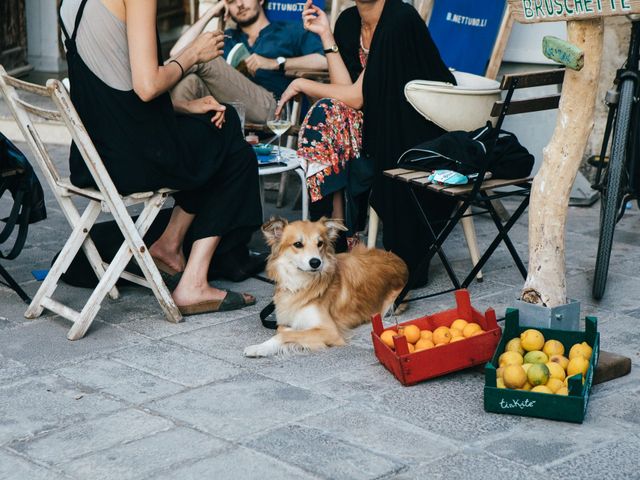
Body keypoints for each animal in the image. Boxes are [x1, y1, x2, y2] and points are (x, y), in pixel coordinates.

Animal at [242, 218, 408, 356]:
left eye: (320, 243)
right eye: (298, 244)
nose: (316, 262)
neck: (302, 283)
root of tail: (399, 259)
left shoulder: (330, 331)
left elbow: (284, 334)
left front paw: (259, 348)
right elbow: (282, 329)